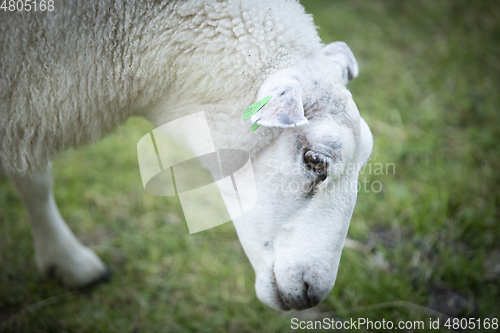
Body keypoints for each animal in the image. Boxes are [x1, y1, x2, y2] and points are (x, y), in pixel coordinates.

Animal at [0, 0, 372, 312]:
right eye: (315, 160)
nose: (313, 293)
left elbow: (34, 181)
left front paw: (66, 263)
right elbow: (37, 183)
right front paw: (70, 260)